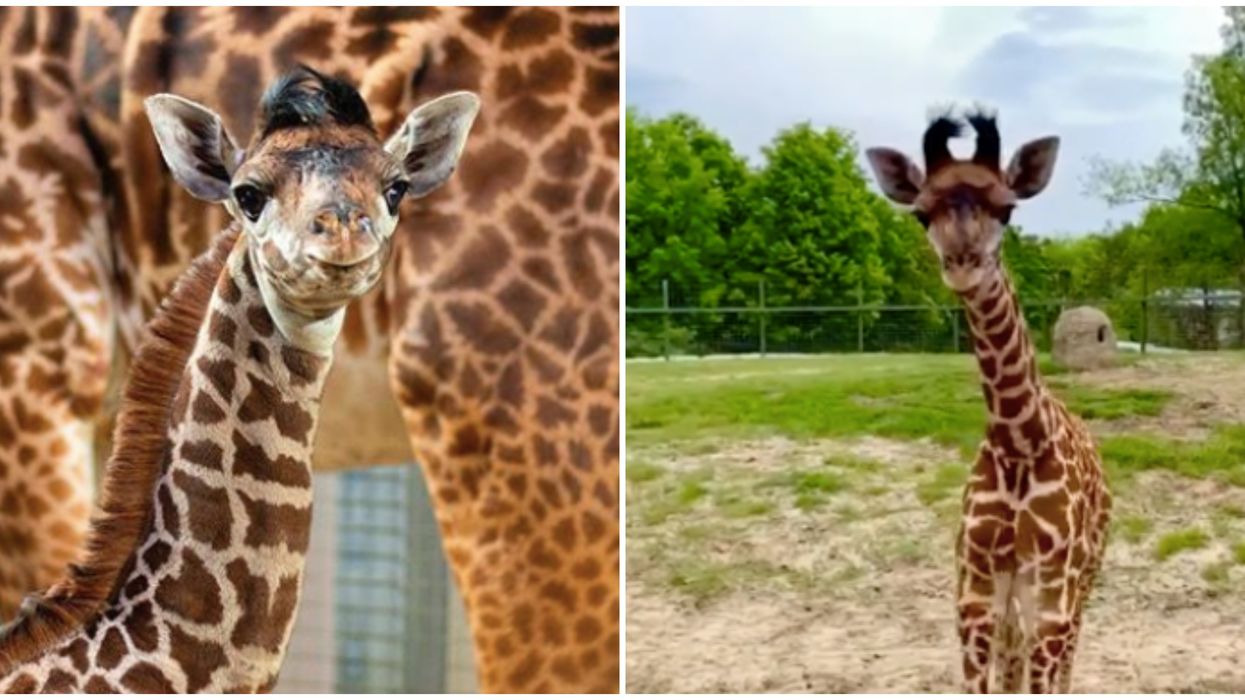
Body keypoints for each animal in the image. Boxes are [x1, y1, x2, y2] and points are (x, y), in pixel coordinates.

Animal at [866, 111, 1111, 693]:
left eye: (1007, 207)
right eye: (921, 213)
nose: (963, 262)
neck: (1018, 439)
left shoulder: (1051, 592)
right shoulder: (975, 589)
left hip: (1085, 575)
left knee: (1069, 656)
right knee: (1014, 654)